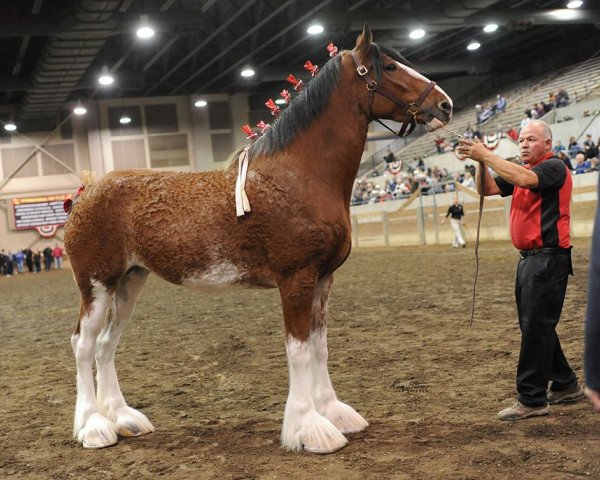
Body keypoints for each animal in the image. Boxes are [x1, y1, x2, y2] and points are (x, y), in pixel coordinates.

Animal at [63, 25, 452, 454]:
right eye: (390, 67)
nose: (445, 104)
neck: (300, 176)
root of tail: (89, 190)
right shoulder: (296, 279)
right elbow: (299, 351)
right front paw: (308, 429)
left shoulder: (323, 280)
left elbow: (319, 347)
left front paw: (333, 413)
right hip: (97, 285)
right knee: (84, 345)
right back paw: (93, 427)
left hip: (130, 282)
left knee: (106, 345)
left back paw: (123, 419)